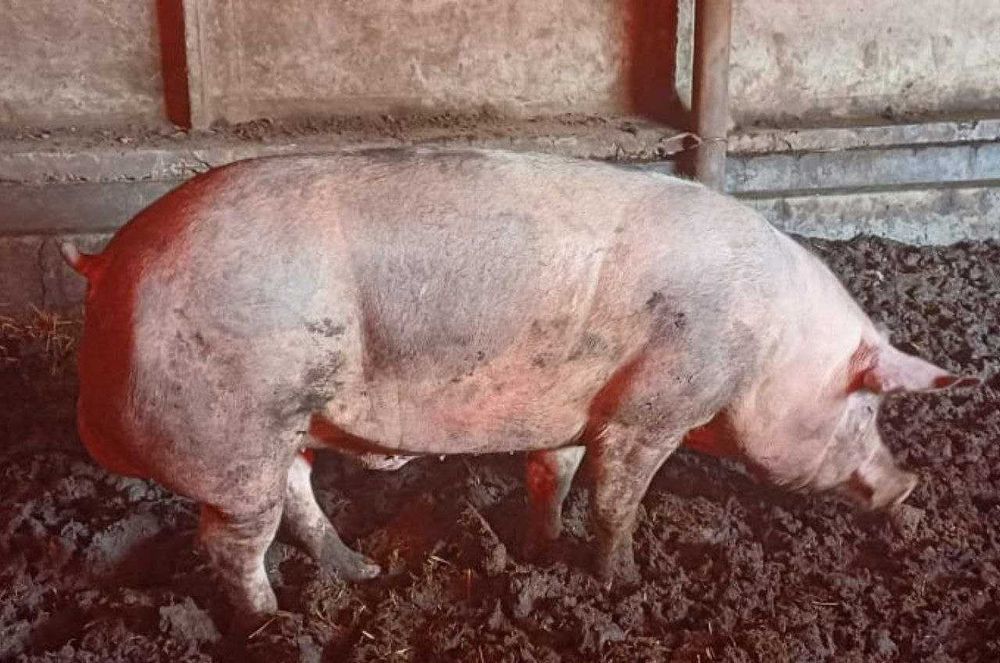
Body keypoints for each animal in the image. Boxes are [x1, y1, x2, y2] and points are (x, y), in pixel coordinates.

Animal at [61, 148, 972, 629]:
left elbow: (552, 475)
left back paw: (359, 571)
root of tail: (108, 265)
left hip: (282, 425)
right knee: (233, 540)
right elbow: (618, 497)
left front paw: (539, 549)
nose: (910, 483)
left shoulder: (574, 410)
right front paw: (624, 586)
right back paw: (272, 623)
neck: (771, 345)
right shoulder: (656, 403)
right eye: (868, 400)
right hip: (232, 431)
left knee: (296, 494)